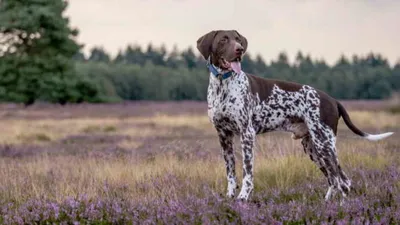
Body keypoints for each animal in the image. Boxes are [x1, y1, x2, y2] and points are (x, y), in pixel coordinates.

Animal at [196, 29, 394, 200]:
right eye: (223, 39)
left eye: (237, 39)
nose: (239, 49)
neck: (223, 85)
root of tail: (332, 100)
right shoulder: (224, 136)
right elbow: (230, 172)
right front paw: (229, 197)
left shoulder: (247, 134)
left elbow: (247, 172)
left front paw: (243, 197)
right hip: (313, 147)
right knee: (334, 179)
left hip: (325, 144)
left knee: (343, 181)